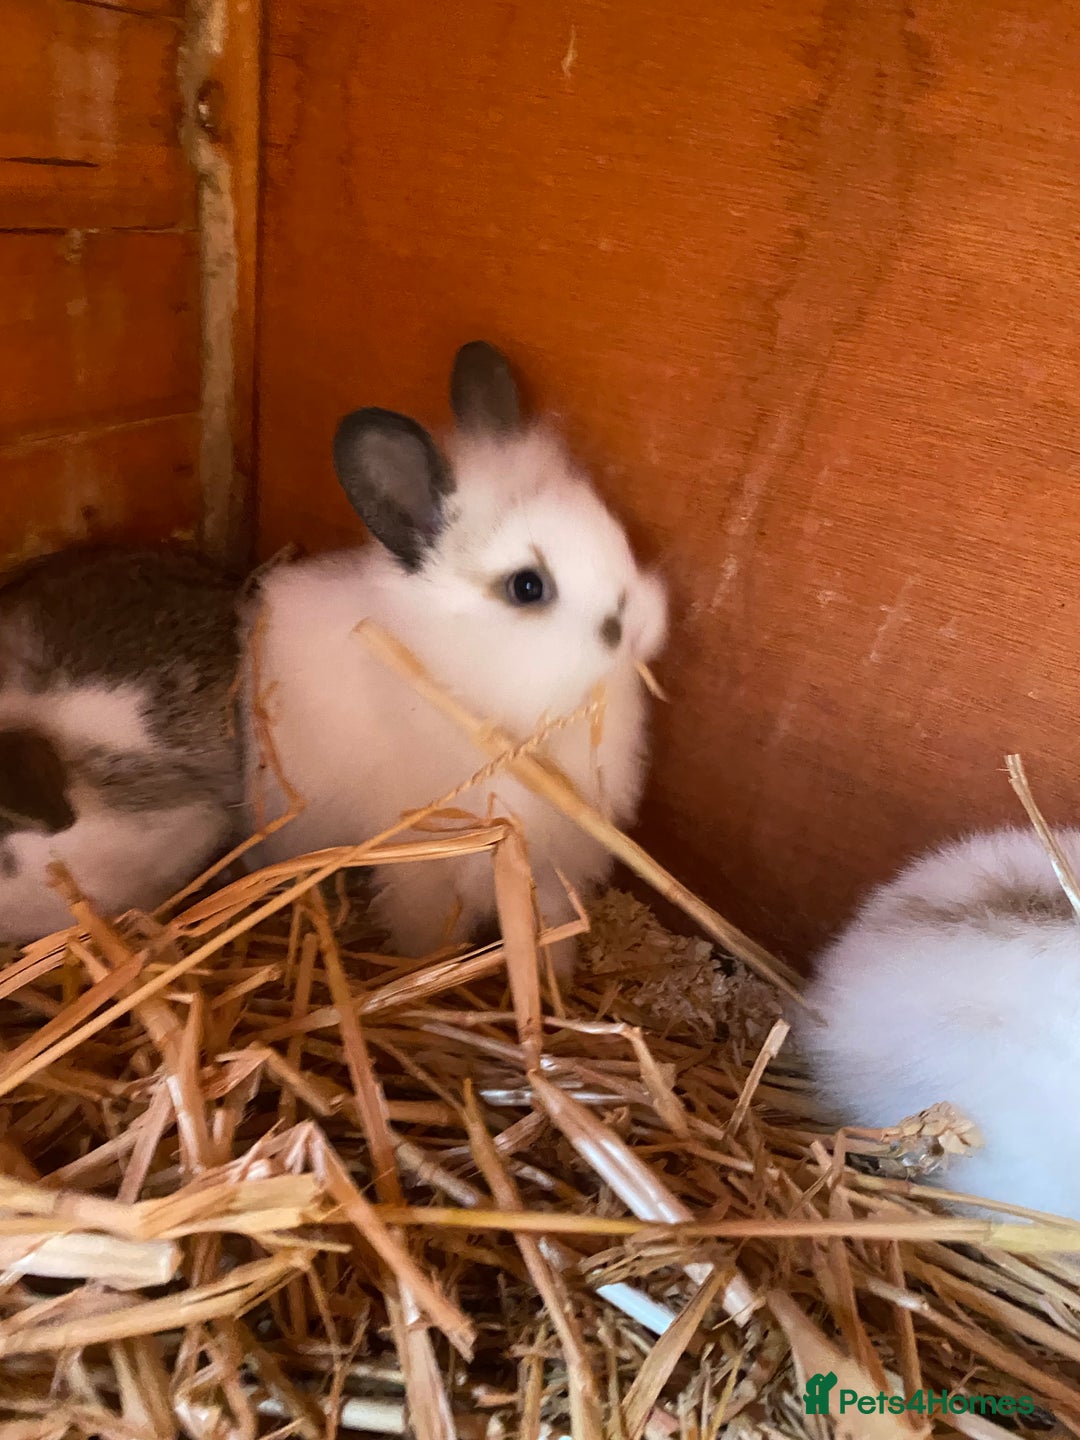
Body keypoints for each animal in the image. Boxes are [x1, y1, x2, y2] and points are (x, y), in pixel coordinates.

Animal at [244, 340, 668, 979]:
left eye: (611, 530)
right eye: (527, 587)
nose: (639, 626)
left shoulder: (557, 863)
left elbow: (553, 927)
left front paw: (555, 974)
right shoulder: (427, 864)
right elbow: (425, 929)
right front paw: (424, 968)